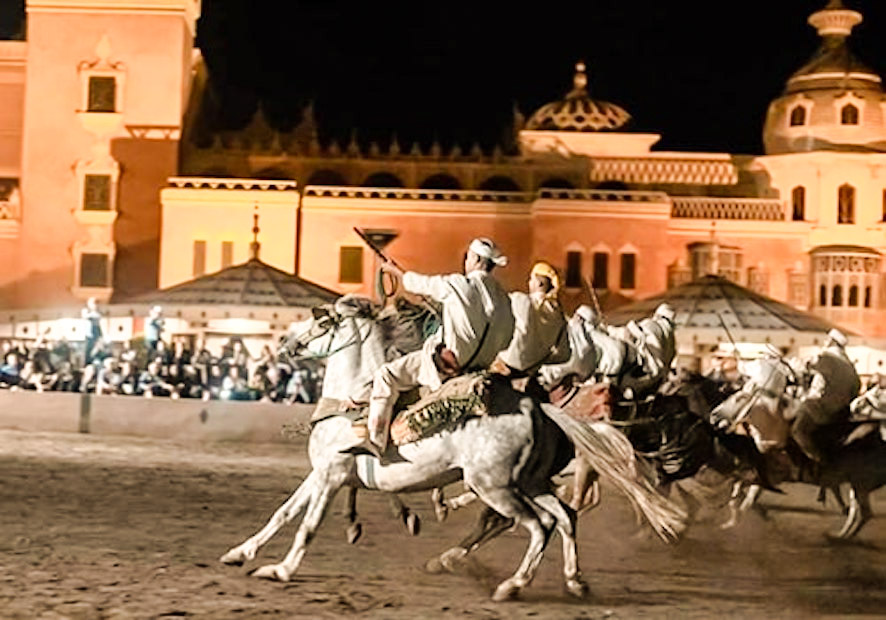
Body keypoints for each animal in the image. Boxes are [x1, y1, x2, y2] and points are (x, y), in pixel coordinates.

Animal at [220, 296, 688, 600]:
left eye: (321, 322)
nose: (286, 344)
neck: (352, 399)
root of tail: (536, 408)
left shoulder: (333, 477)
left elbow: (308, 525)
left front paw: (281, 570)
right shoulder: (319, 474)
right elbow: (283, 513)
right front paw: (240, 553)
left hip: (495, 487)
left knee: (538, 526)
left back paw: (511, 585)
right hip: (531, 483)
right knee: (565, 518)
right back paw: (575, 581)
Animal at [712, 356, 886, 540]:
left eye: (739, 398)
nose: (713, 416)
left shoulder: (774, 476)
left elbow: (743, 493)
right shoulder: (763, 476)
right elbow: (740, 495)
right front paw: (730, 523)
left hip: (861, 485)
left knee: (864, 513)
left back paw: (842, 536)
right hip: (857, 485)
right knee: (857, 512)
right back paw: (840, 534)